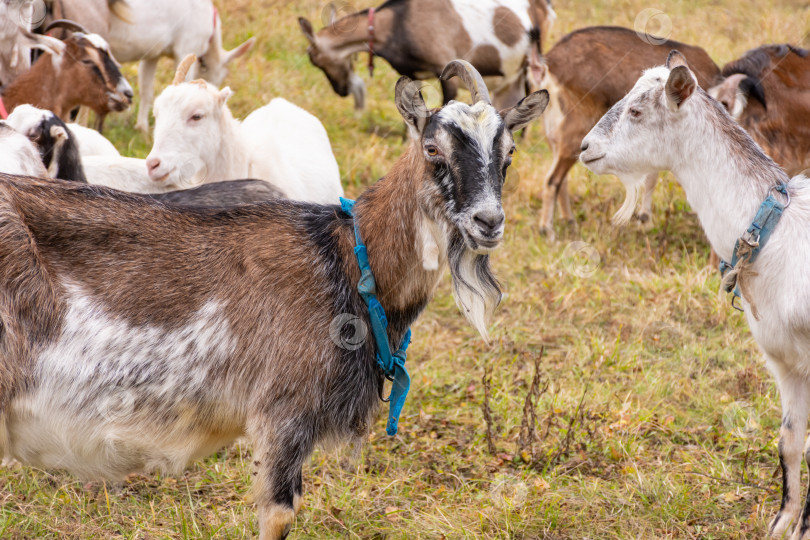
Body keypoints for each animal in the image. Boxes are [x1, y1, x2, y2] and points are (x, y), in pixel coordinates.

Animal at [300, 0, 552, 109]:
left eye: (314, 60)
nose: (341, 91)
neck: (397, 22)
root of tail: (543, 7)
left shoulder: (444, 66)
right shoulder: (413, 72)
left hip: (531, 65)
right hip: (512, 78)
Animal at [532, 25, 716, 236]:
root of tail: (549, 65)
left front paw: (644, 218)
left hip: (554, 135)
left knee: (560, 178)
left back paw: (568, 220)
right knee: (552, 179)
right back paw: (546, 229)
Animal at [576, 50, 808, 540]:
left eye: (637, 111)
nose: (585, 148)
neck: (777, 230)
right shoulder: (785, 362)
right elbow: (790, 441)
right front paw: (783, 525)